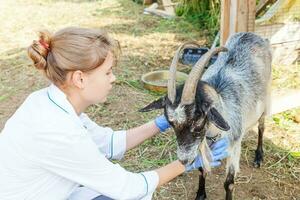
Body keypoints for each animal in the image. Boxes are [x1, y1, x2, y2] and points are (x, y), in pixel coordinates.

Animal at [140, 32, 272, 199]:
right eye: (170, 123)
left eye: (197, 121)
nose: (184, 160)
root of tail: (252, 34)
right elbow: (202, 169)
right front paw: (201, 194)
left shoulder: (235, 144)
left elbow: (229, 183)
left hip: (265, 99)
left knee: (262, 126)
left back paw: (259, 156)